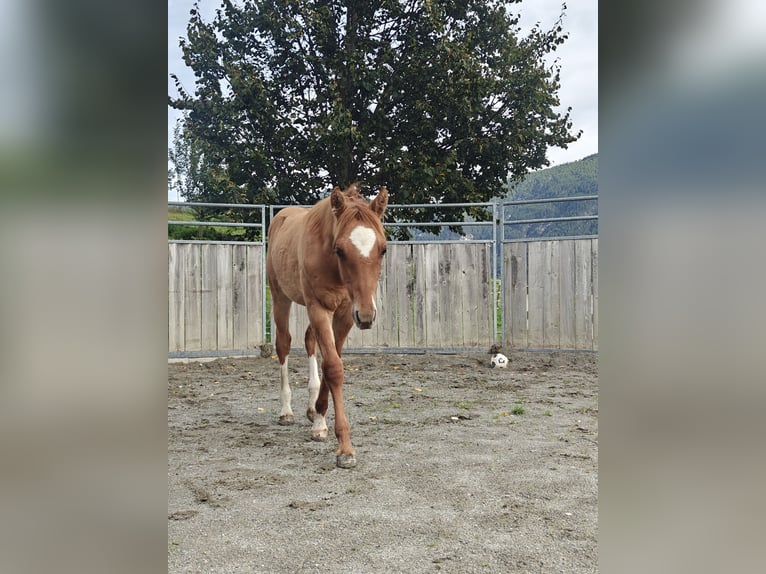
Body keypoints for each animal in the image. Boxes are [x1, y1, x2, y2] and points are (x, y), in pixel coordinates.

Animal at [266, 183, 388, 468]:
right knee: (283, 344)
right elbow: (333, 367)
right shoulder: (319, 308)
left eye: (383, 249)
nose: (367, 316)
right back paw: (286, 411)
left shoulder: (345, 313)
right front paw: (345, 448)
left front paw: (320, 419)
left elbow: (330, 361)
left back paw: (311, 409)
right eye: (340, 250)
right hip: (280, 297)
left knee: (310, 341)